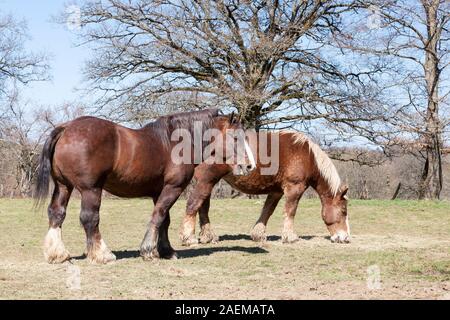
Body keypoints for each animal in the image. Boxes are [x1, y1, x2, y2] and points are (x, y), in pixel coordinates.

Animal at [33, 109, 255, 264]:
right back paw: (103, 254)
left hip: (63, 186)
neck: (176, 142)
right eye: (236, 137)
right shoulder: (173, 188)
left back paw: (58, 254)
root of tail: (66, 128)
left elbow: (164, 220)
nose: (249, 165)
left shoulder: (159, 191)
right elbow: (158, 216)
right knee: (90, 218)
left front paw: (166, 251)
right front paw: (148, 250)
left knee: (57, 213)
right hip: (91, 190)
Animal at [179, 131, 352, 246]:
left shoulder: (276, 191)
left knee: (203, 208)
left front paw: (258, 235)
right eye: (344, 211)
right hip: (206, 181)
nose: (345, 238)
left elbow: (268, 211)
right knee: (194, 205)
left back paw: (208, 236)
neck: (307, 156)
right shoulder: (294, 188)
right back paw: (189, 238)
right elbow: (290, 211)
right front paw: (290, 237)